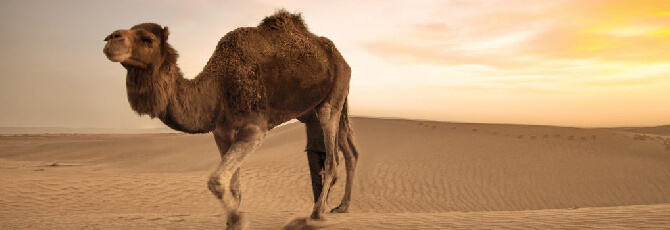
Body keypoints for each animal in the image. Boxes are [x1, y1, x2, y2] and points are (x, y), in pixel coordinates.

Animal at [102, 9, 360, 229]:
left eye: (147, 39)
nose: (111, 39)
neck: (218, 88)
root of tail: (342, 59)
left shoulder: (255, 128)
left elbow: (216, 180)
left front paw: (239, 220)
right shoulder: (222, 132)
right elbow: (233, 186)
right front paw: (232, 221)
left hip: (332, 97)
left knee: (332, 158)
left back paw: (316, 214)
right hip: (325, 104)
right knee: (349, 150)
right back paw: (342, 206)